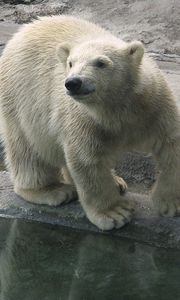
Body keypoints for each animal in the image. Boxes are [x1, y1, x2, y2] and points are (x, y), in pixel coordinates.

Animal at [0, 15, 180, 230]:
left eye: (101, 63)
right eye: (70, 63)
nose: (73, 82)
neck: (117, 107)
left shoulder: (154, 105)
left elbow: (171, 145)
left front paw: (170, 204)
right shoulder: (85, 118)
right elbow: (87, 160)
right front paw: (115, 213)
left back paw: (116, 181)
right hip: (21, 100)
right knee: (29, 150)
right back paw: (53, 190)